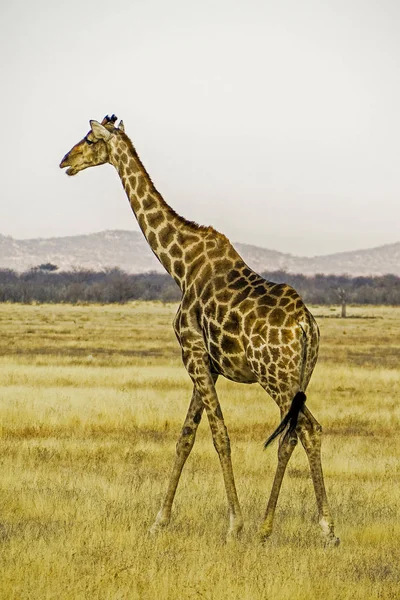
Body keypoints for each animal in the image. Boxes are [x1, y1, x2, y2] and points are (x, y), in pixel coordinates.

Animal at [60, 115, 338, 548]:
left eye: (89, 139)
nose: (65, 162)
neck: (180, 265)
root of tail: (306, 326)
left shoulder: (191, 354)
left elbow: (219, 435)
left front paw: (233, 524)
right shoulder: (207, 363)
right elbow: (186, 437)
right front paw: (159, 520)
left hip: (275, 376)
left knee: (306, 429)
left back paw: (315, 527)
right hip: (299, 377)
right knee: (297, 432)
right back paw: (272, 527)